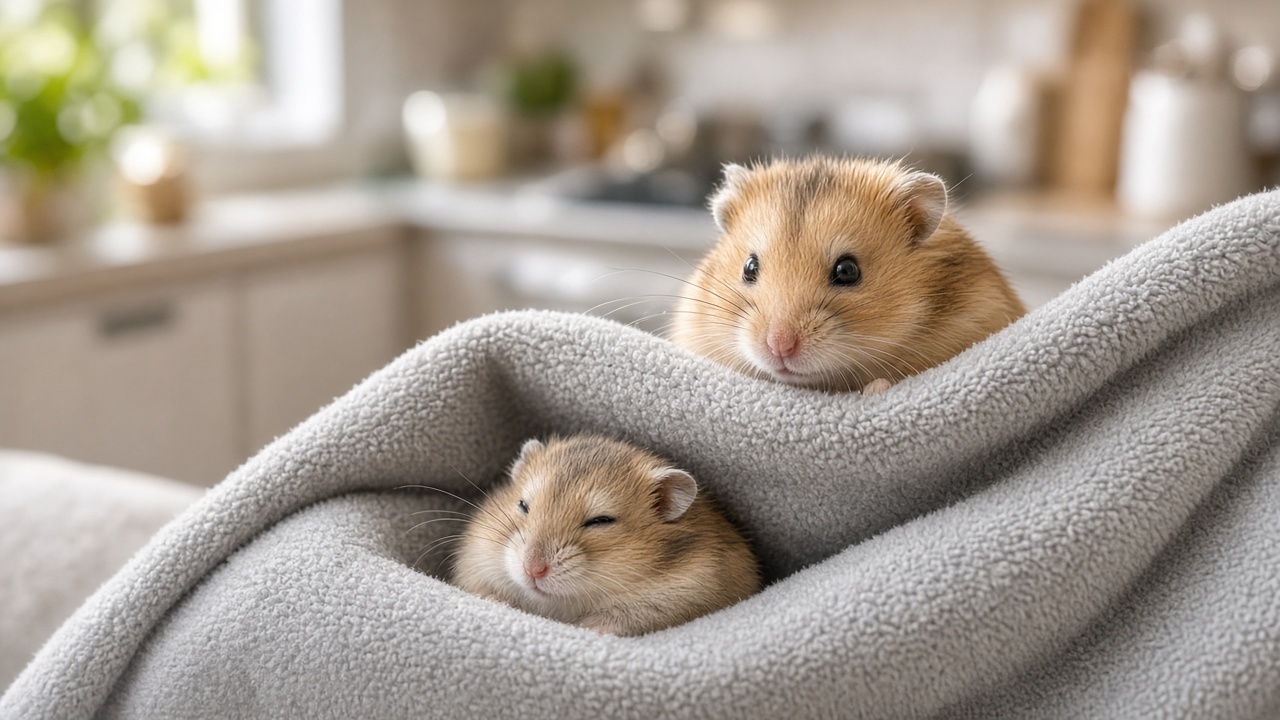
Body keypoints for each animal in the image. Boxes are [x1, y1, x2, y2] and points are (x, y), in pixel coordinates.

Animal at [451, 435, 760, 636]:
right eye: (523, 505)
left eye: (600, 521)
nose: (533, 570)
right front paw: (497, 601)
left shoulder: (683, 597)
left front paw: (587, 628)